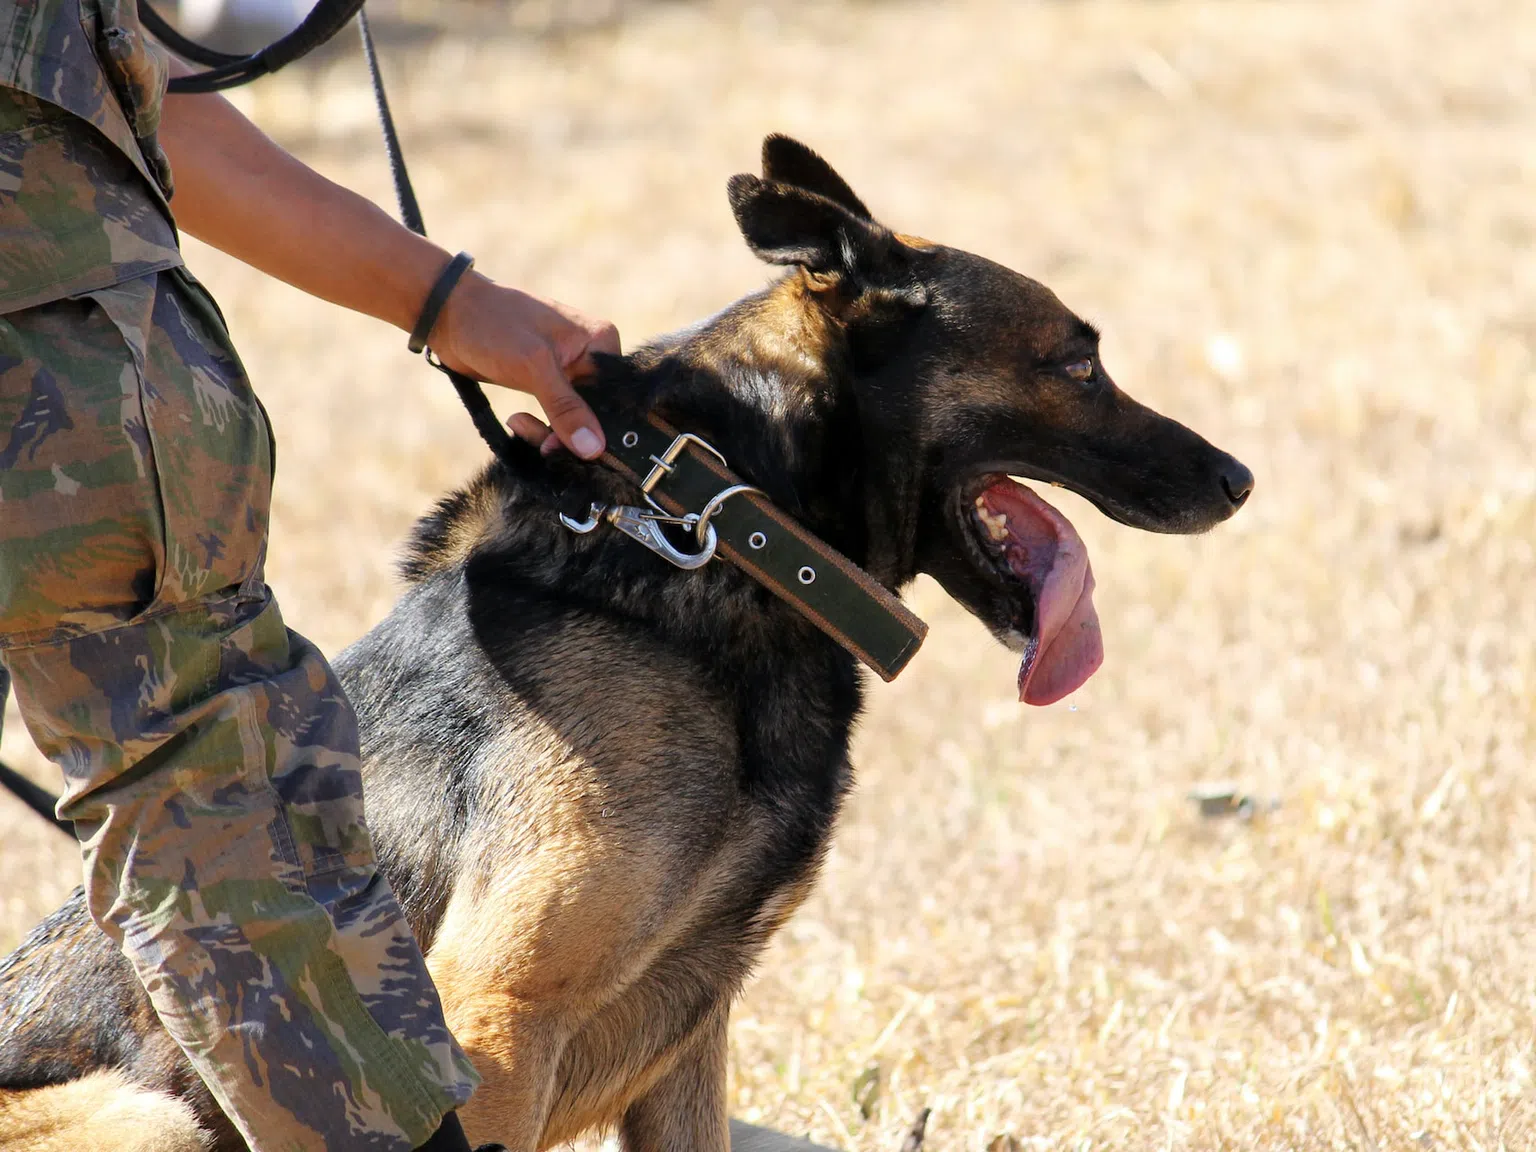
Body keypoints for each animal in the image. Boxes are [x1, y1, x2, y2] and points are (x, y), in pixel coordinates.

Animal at [0, 137, 1247, 1152]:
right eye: (1078, 362)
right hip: (150, 1114)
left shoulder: (688, 1041)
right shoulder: (495, 1023)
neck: (727, 536)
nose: (1239, 479)